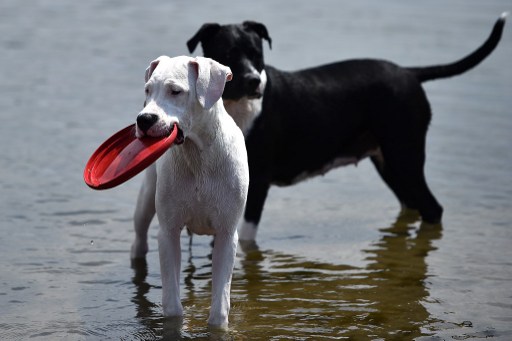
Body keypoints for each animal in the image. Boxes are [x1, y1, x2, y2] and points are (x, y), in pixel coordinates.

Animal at [131, 55, 249, 326]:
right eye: (148, 90)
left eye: (176, 91)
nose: (144, 119)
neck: (197, 155)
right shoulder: (168, 231)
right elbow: (172, 304)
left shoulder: (227, 234)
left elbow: (220, 306)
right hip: (146, 198)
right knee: (140, 236)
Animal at [187, 14, 504, 240]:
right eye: (228, 53)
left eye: (257, 54)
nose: (255, 81)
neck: (233, 107)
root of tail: (410, 73)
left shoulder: (258, 182)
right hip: (390, 163)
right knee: (411, 205)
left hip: (405, 157)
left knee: (432, 208)